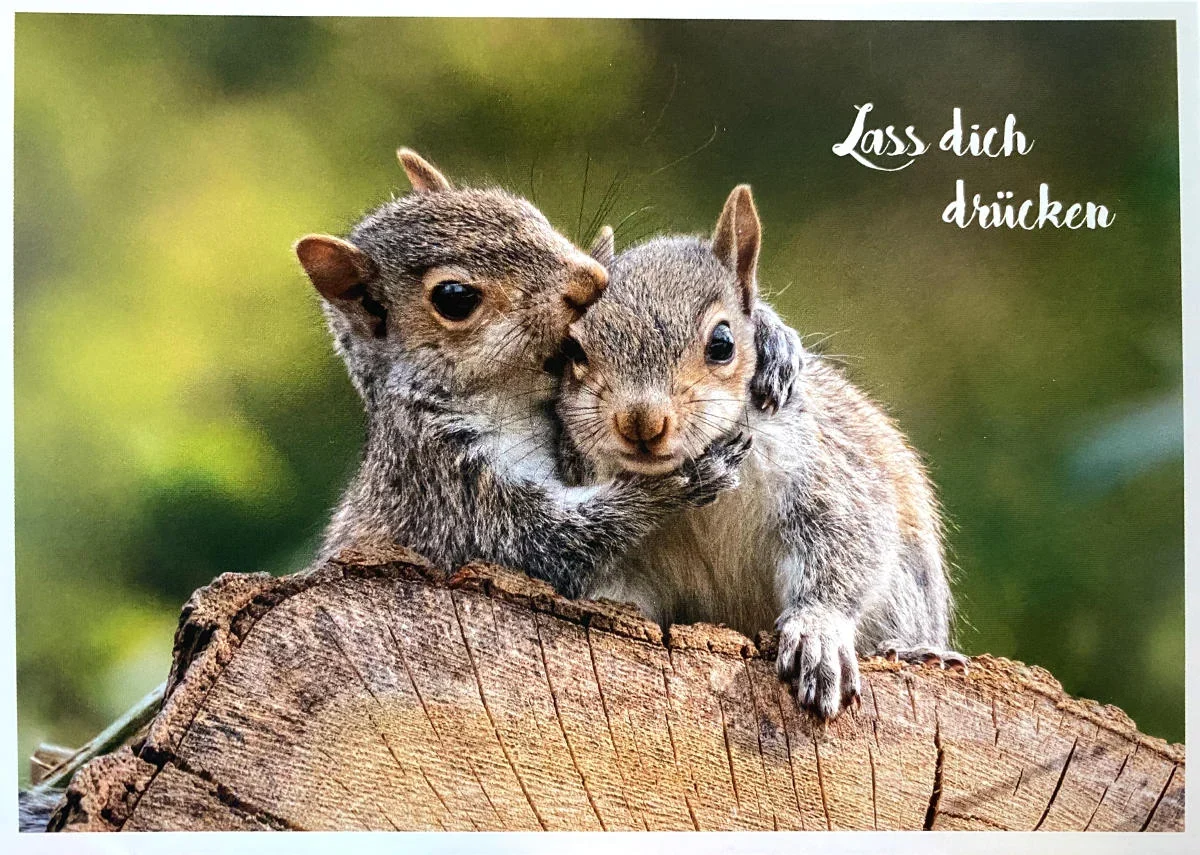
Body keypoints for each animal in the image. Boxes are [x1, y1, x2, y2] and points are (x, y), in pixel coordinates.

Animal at [555, 184, 964, 720]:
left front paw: (818, 633)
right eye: (574, 351)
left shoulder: (824, 480)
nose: (640, 422)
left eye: (722, 343)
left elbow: (847, 547)